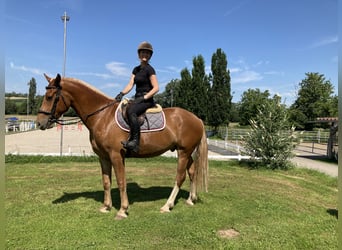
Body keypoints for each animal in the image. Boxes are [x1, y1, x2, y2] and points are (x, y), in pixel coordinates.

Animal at [37, 73, 208, 220]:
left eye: (50, 97)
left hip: (183, 152)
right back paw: (191, 199)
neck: (102, 116)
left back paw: (167, 205)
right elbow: (106, 182)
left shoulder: (116, 155)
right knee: (192, 172)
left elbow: (121, 181)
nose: (39, 123)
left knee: (180, 177)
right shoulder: (103, 157)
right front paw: (106, 207)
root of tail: (197, 119)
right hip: (186, 152)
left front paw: (122, 210)